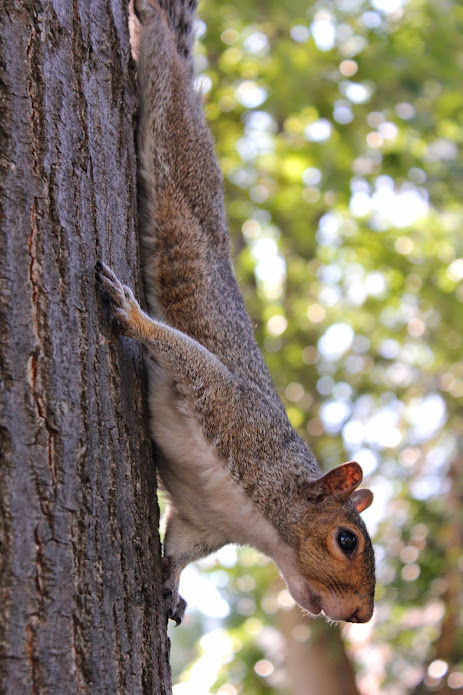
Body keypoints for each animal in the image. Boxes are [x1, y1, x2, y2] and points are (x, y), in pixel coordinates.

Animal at [98, 0, 376, 628]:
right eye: (346, 540)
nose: (361, 616)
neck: (260, 519)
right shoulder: (231, 411)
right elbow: (187, 356)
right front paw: (133, 315)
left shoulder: (202, 524)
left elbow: (178, 548)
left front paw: (172, 587)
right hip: (178, 140)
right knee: (166, 69)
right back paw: (152, 22)